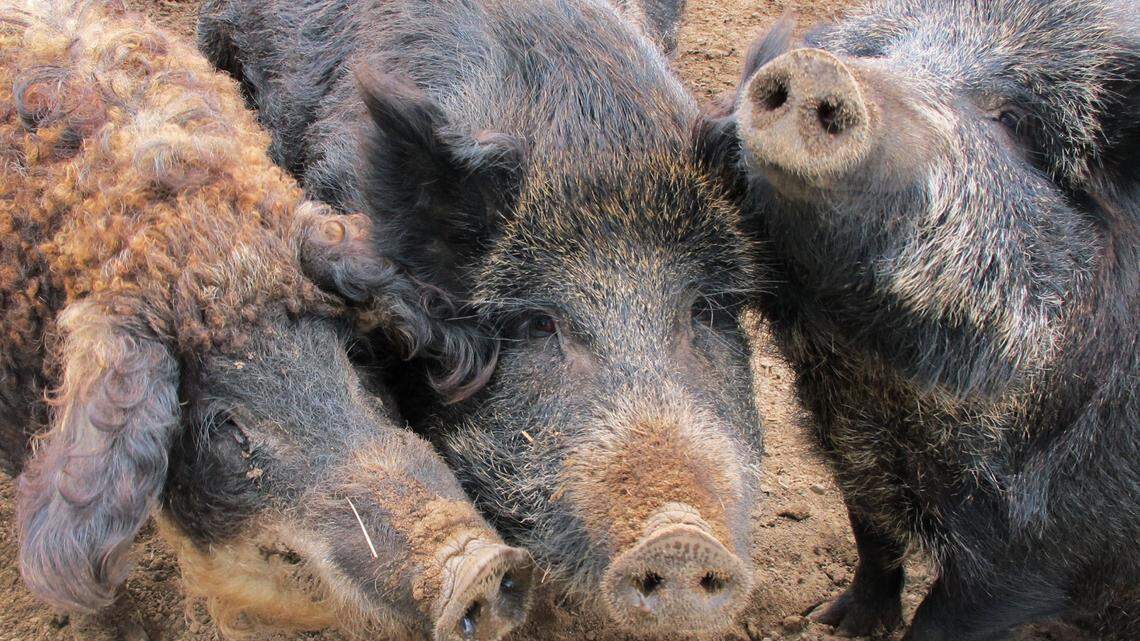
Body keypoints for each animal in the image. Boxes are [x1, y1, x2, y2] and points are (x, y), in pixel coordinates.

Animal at [697, 0, 1140, 639]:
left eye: (1012, 120)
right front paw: (833, 622)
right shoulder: (852, 450)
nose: (814, 66)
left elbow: (948, 615)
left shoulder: (1050, 538)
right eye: (878, 53)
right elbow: (873, 540)